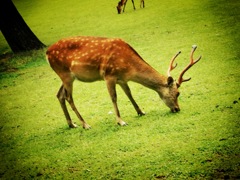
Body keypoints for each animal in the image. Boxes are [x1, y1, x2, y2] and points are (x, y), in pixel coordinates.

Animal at [46, 36, 202, 129]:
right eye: (177, 93)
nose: (177, 109)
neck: (129, 67)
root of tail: (47, 53)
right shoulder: (109, 75)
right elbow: (114, 98)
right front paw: (121, 121)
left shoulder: (122, 79)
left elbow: (129, 94)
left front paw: (141, 111)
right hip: (65, 74)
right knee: (68, 97)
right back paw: (85, 124)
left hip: (66, 76)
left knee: (59, 95)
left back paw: (72, 124)